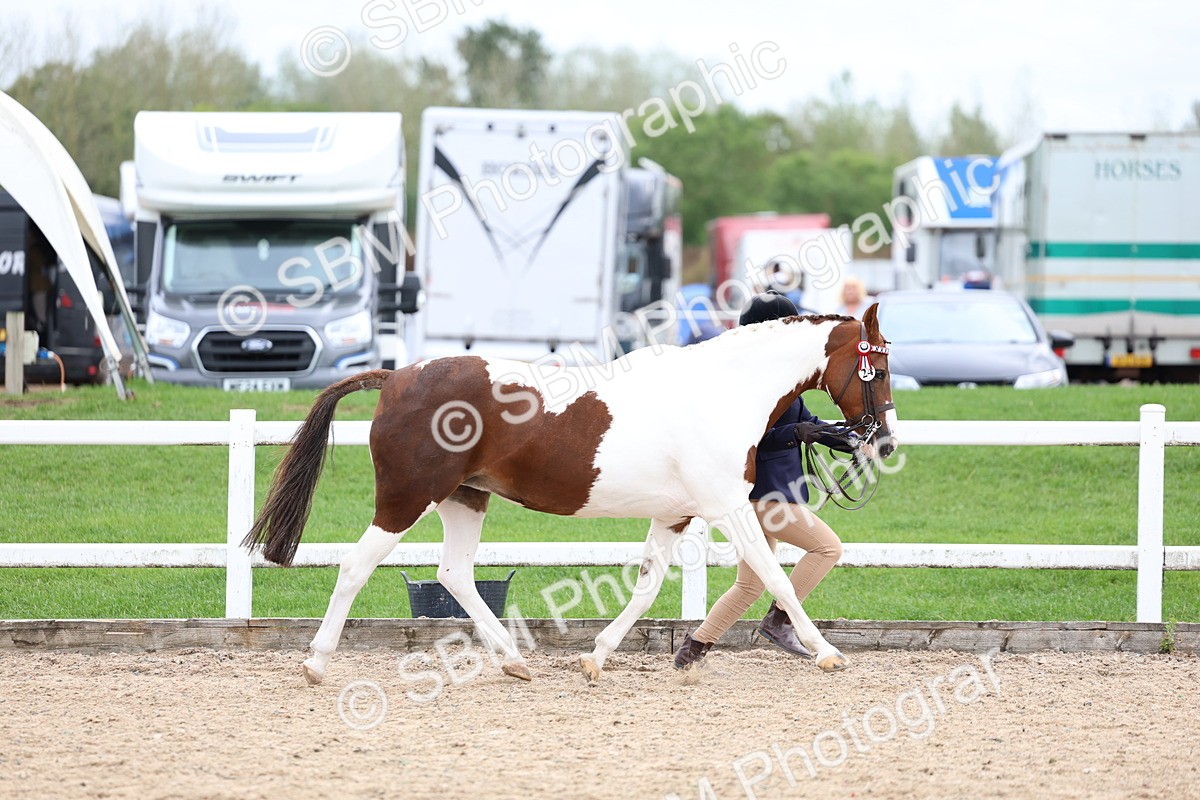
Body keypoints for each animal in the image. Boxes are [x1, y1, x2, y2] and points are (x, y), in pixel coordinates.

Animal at [244, 303, 897, 685]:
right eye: (881, 368)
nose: (884, 441)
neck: (721, 390)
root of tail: (397, 376)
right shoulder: (727, 507)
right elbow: (775, 575)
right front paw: (826, 651)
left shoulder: (676, 516)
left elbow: (647, 586)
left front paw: (595, 657)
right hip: (407, 499)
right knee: (356, 566)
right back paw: (316, 663)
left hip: (465, 498)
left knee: (455, 573)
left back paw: (513, 661)